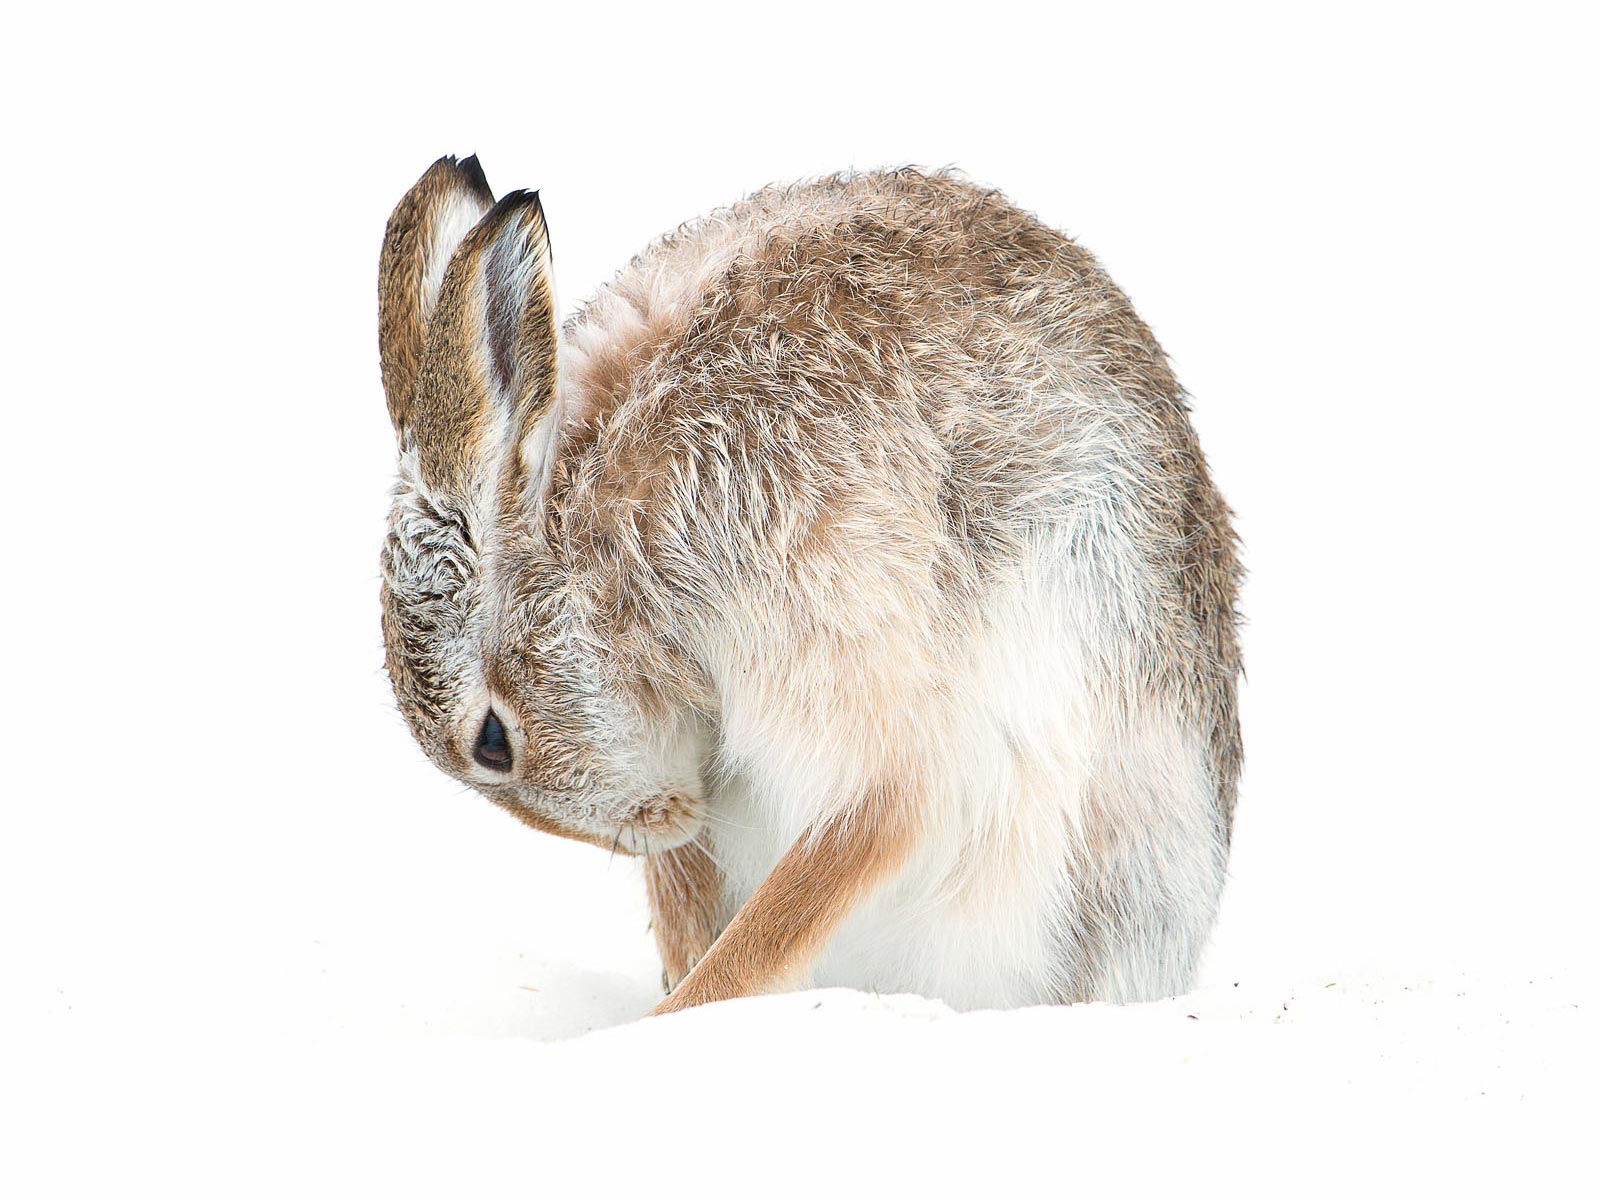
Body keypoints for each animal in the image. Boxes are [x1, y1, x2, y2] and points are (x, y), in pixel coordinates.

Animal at [376, 155, 1242, 1015]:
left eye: (493, 742)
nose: (659, 827)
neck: (589, 532)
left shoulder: (832, 606)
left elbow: (869, 830)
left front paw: (678, 1014)